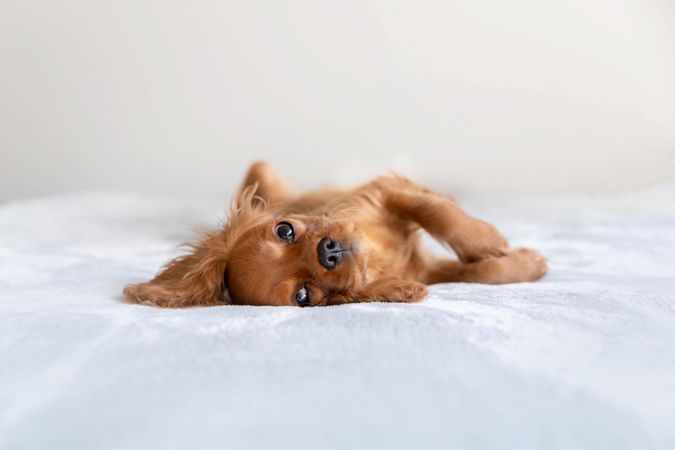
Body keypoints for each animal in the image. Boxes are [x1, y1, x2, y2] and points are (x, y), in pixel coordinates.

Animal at [124, 163, 548, 308]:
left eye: (284, 229)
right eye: (303, 296)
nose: (328, 252)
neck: (375, 254)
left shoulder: (382, 191)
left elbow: (436, 211)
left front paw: (486, 240)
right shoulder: (426, 272)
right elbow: (481, 272)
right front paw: (526, 263)